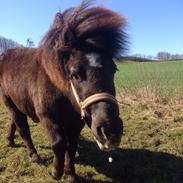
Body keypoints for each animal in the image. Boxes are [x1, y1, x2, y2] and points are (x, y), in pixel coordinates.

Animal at [0, 1, 126, 182]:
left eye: (114, 69)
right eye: (75, 74)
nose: (110, 130)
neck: (60, 90)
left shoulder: (76, 121)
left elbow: (71, 146)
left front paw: (70, 173)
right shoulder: (47, 117)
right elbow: (59, 143)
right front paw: (56, 171)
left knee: (14, 122)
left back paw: (10, 140)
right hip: (8, 100)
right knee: (22, 128)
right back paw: (34, 155)